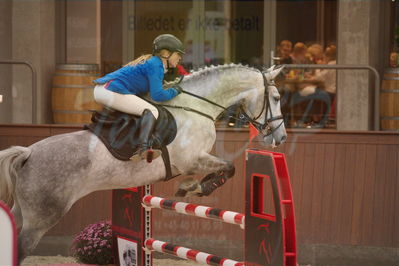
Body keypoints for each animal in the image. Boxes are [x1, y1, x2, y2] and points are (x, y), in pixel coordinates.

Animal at [0, 63, 288, 260]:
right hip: (42, 217)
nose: (282, 138)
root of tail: (27, 153)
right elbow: (229, 167)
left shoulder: (192, 162)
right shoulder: (192, 159)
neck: (197, 108)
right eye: (276, 99)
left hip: (23, 212)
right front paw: (197, 187)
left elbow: (224, 169)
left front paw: (189, 186)